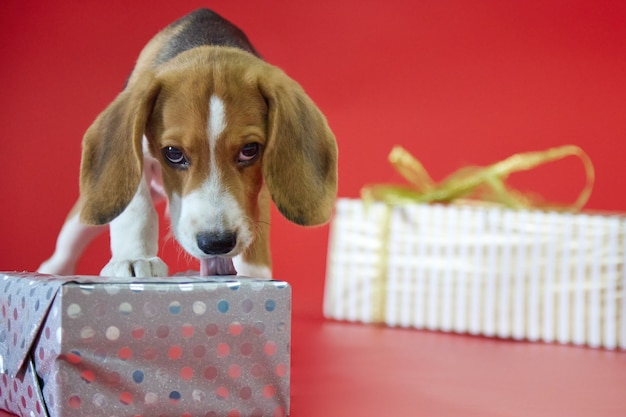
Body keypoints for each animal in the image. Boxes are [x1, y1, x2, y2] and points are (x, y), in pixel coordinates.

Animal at [38, 8, 336, 278]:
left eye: (249, 150)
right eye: (173, 153)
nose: (216, 243)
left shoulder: (257, 190)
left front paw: (255, 274)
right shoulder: (137, 157)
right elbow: (137, 208)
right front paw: (135, 257)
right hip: (88, 211)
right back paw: (52, 269)